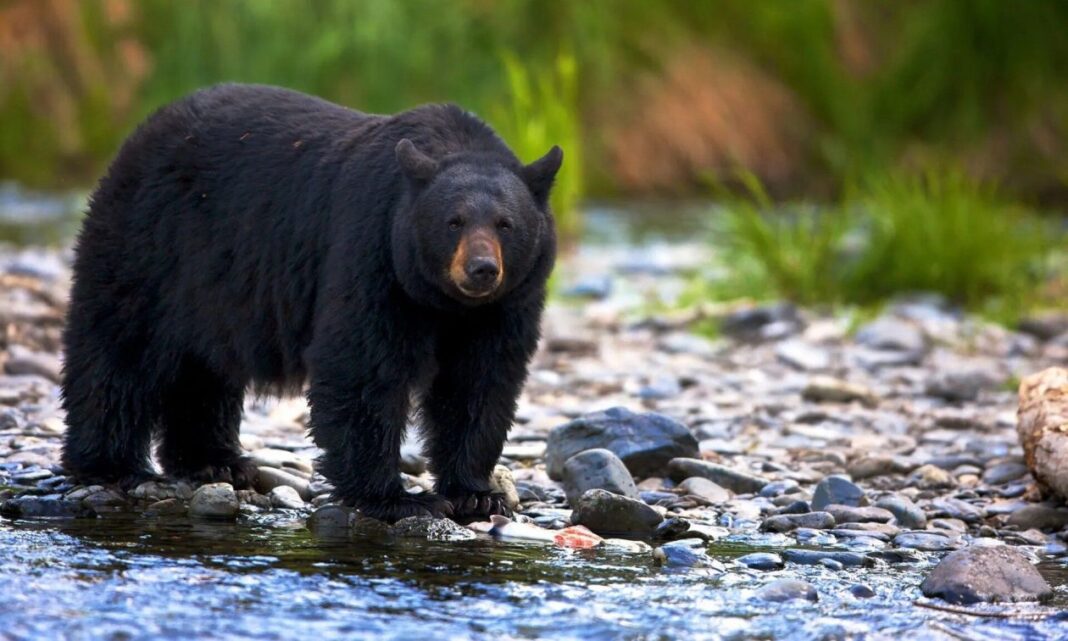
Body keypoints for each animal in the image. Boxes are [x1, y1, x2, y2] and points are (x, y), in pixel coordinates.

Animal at [59, 83, 563, 521]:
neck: (444, 301)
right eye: (453, 221)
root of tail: (145, 130)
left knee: (203, 370)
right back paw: (110, 465)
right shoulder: (372, 252)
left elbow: (479, 383)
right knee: (120, 350)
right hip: (150, 244)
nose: (481, 269)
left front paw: (475, 494)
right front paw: (396, 498)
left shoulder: (505, 305)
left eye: (505, 224)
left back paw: (215, 461)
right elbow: (363, 367)